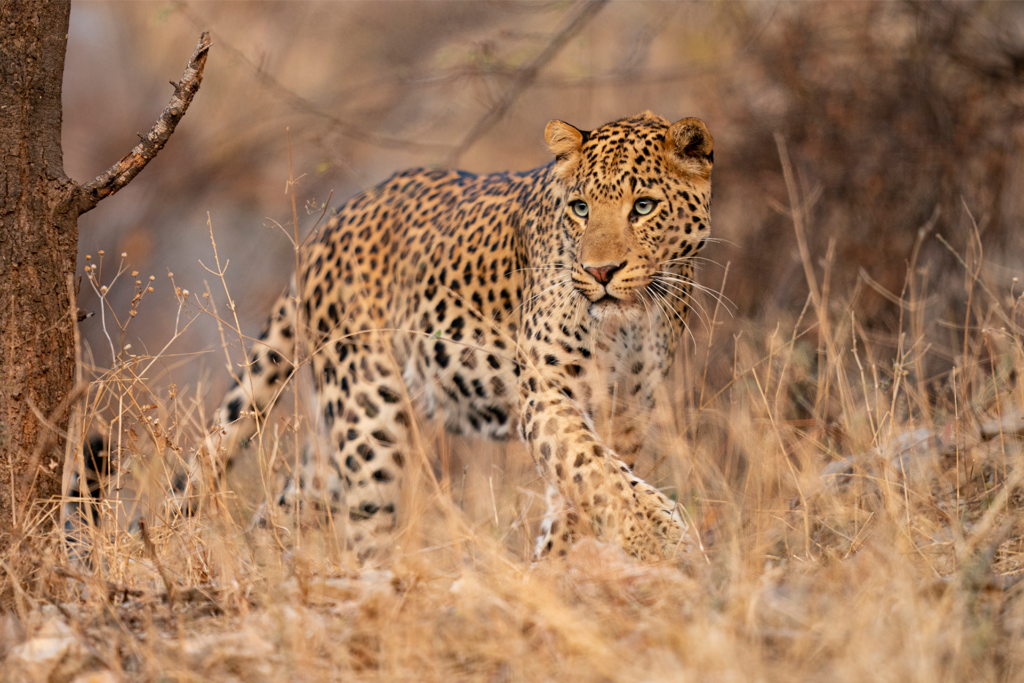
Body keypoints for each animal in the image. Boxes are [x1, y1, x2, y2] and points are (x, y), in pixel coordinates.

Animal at [174, 111, 714, 563]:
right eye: (580, 208)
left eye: (643, 207)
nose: (600, 272)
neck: (629, 320)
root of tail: (324, 232)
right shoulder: (547, 394)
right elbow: (591, 468)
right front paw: (655, 531)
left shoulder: (628, 408)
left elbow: (585, 484)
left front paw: (561, 562)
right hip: (370, 420)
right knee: (361, 524)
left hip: (333, 439)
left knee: (281, 511)